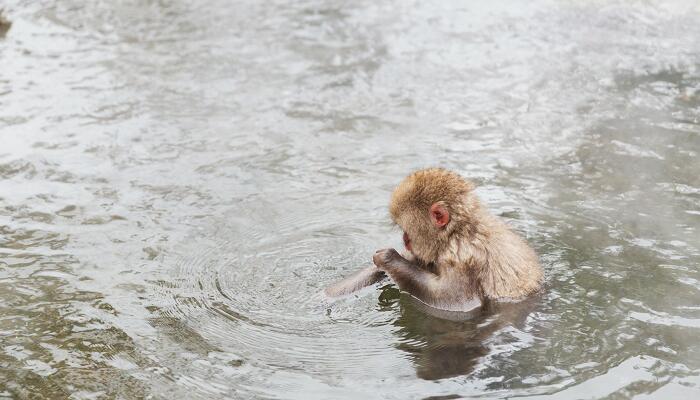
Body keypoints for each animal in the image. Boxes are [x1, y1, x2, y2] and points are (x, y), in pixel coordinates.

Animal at [326, 167, 544, 310]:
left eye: (406, 230)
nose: (405, 240)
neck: (457, 231)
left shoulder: (463, 256)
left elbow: (457, 302)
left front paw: (389, 258)